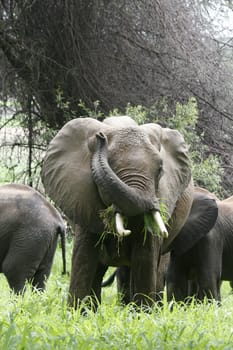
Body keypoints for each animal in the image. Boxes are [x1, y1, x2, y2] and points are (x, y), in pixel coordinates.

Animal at [40, 115, 195, 308]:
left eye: (160, 169)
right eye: (111, 166)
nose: (100, 137)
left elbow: (145, 258)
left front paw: (143, 314)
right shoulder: (82, 200)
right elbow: (84, 260)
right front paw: (76, 313)